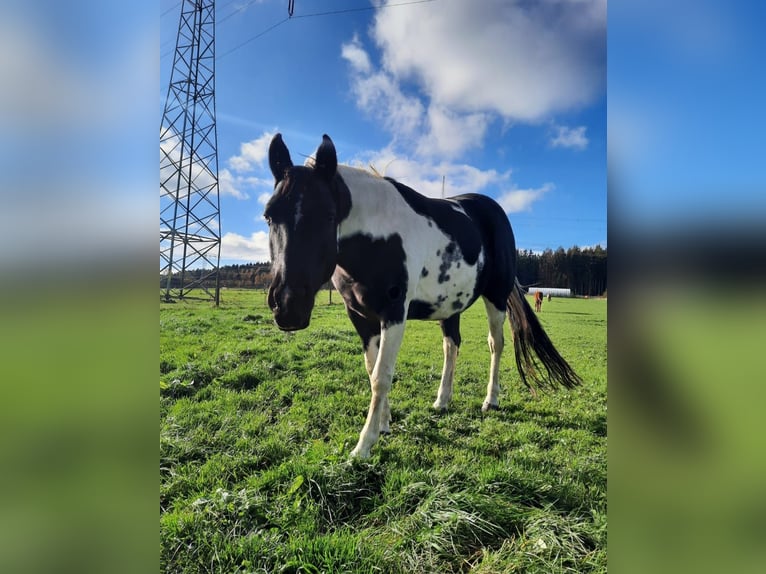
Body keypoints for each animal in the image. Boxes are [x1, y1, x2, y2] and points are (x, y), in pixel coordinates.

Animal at [266, 134, 584, 460]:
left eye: (329, 216)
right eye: (269, 216)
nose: (287, 306)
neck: (376, 239)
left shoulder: (394, 312)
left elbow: (382, 375)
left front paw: (364, 444)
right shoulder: (359, 315)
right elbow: (372, 370)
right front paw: (384, 424)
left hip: (495, 297)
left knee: (496, 344)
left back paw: (490, 400)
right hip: (450, 306)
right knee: (451, 346)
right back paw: (442, 400)